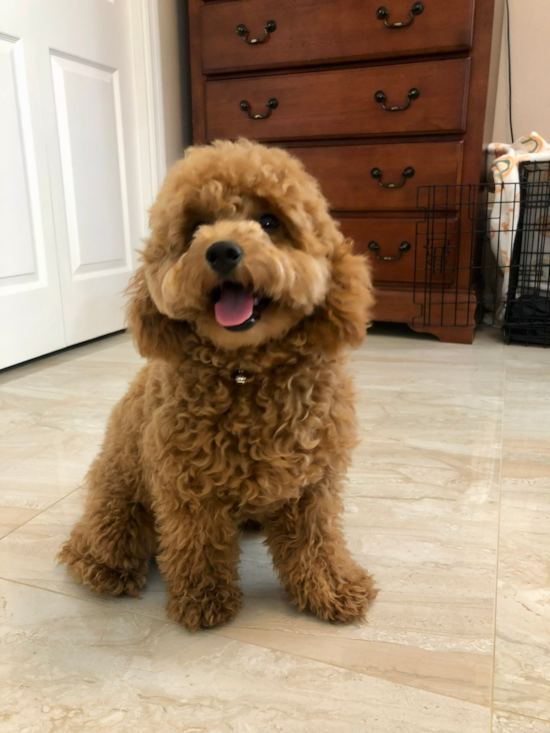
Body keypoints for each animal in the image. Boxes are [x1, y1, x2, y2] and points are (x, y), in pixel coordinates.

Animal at [59, 140, 380, 632]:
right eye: (195, 228)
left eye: (269, 222)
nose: (222, 251)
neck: (246, 372)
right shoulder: (187, 485)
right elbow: (200, 543)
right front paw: (204, 599)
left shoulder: (313, 483)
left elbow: (316, 540)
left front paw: (333, 588)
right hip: (121, 495)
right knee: (104, 535)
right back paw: (103, 565)